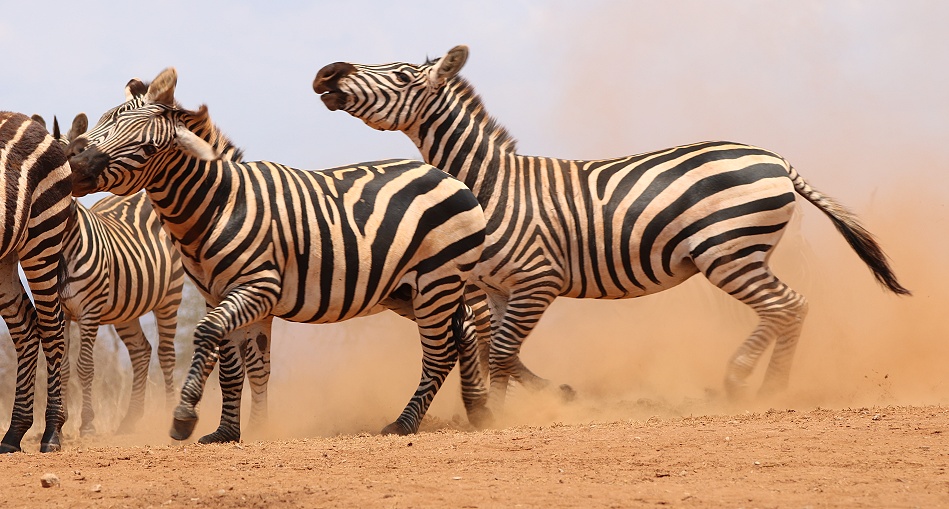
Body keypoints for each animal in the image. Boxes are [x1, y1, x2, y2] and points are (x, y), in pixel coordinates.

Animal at [67, 67, 489, 441]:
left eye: (149, 148)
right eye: (105, 121)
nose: (76, 167)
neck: (220, 204)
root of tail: (450, 177)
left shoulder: (259, 287)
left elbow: (209, 336)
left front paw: (186, 417)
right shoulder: (221, 295)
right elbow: (243, 368)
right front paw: (236, 431)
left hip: (436, 280)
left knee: (439, 352)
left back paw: (404, 424)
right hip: (408, 290)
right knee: (464, 329)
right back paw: (480, 408)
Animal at [312, 45, 910, 408]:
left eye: (402, 75)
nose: (326, 72)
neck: (492, 184)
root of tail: (780, 160)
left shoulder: (539, 279)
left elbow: (501, 353)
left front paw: (504, 417)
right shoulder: (502, 287)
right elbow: (497, 352)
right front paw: (522, 407)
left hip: (728, 251)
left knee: (788, 305)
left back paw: (755, 385)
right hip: (740, 253)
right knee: (789, 307)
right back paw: (762, 385)